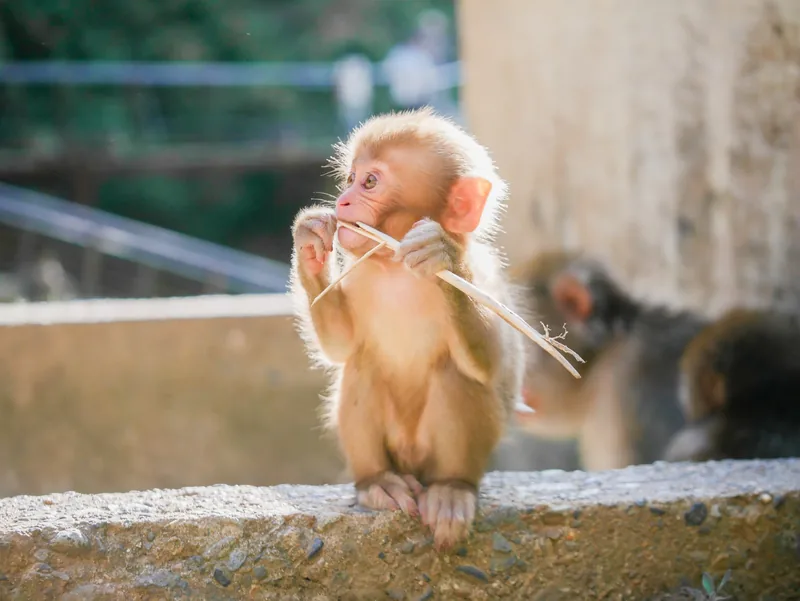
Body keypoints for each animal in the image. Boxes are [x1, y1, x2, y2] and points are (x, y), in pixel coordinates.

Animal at [289, 107, 525, 549]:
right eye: (350, 177)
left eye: (370, 182)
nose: (343, 201)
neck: (398, 269)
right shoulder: (361, 276)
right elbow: (342, 344)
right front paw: (310, 239)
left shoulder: (484, 275)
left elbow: (496, 365)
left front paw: (439, 255)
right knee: (363, 363)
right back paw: (377, 482)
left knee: (457, 373)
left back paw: (452, 488)